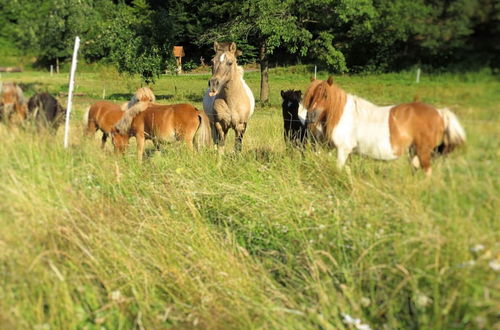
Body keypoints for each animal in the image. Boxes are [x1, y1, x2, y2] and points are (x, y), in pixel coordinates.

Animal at [302, 77, 466, 175]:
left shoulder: (343, 150)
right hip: (414, 150)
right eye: (310, 95)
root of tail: (440, 112)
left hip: (423, 151)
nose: (311, 116)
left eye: (326, 96)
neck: (344, 115)